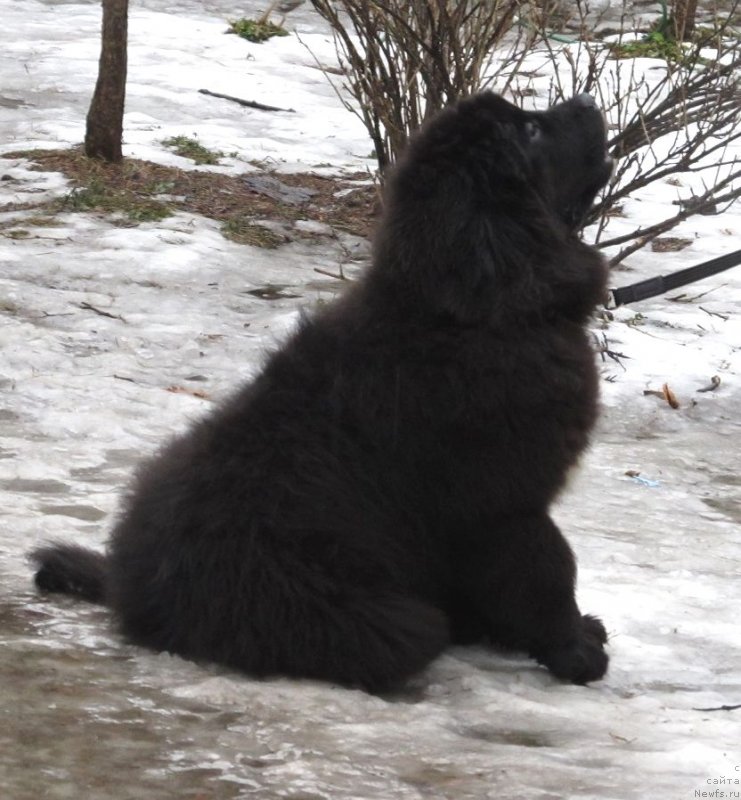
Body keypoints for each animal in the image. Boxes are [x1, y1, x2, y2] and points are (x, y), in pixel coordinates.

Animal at [31, 94, 612, 692]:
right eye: (531, 130)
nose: (588, 100)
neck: (479, 314)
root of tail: (129, 591)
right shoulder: (506, 507)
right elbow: (546, 572)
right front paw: (575, 652)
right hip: (370, 615)